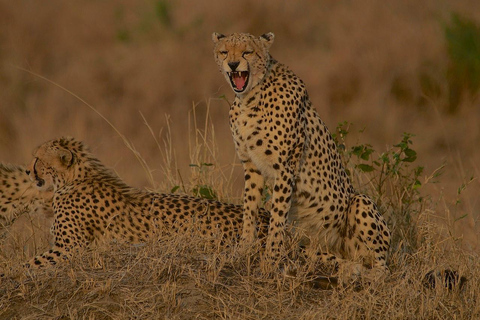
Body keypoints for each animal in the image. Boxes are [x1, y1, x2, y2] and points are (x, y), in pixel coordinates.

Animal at [24, 137, 270, 268]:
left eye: (37, 158)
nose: (27, 171)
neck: (73, 178)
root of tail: (267, 216)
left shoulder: (70, 248)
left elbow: (28, 264)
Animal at [213, 31, 390, 272]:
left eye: (247, 52)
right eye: (224, 51)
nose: (232, 64)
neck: (250, 97)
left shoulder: (285, 168)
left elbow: (277, 217)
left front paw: (270, 261)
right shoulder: (251, 166)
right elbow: (249, 210)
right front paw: (243, 250)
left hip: (359, 202)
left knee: (382, 268)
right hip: (315, 248)